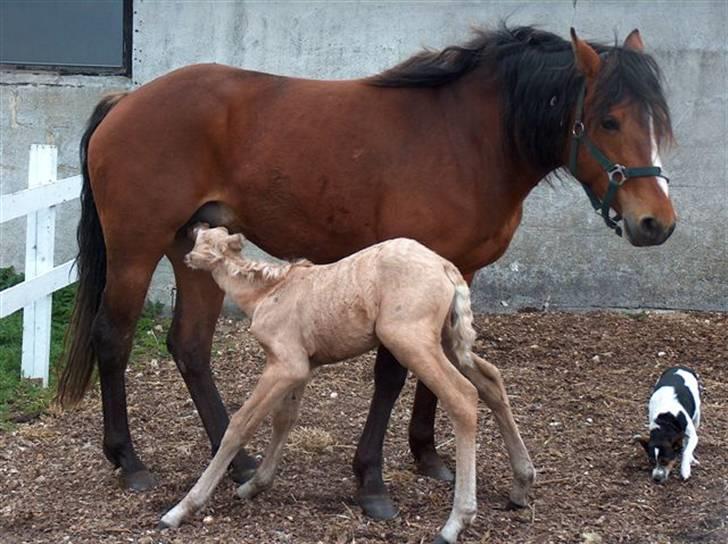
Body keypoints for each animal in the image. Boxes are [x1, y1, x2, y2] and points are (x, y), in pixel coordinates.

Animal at [161, 225, 536, 544]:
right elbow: (284, 419)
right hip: (447, 339)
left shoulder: (286, 363)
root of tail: (447, 268)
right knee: (490, 380)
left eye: (204, 240)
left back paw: (455, 522)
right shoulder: (303, 366)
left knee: (462, 395)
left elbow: (241, 424)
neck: (267, 293)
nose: (191, 235)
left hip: (409, 338)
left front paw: (181, 509)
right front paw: (255, 485)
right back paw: (521, 484)